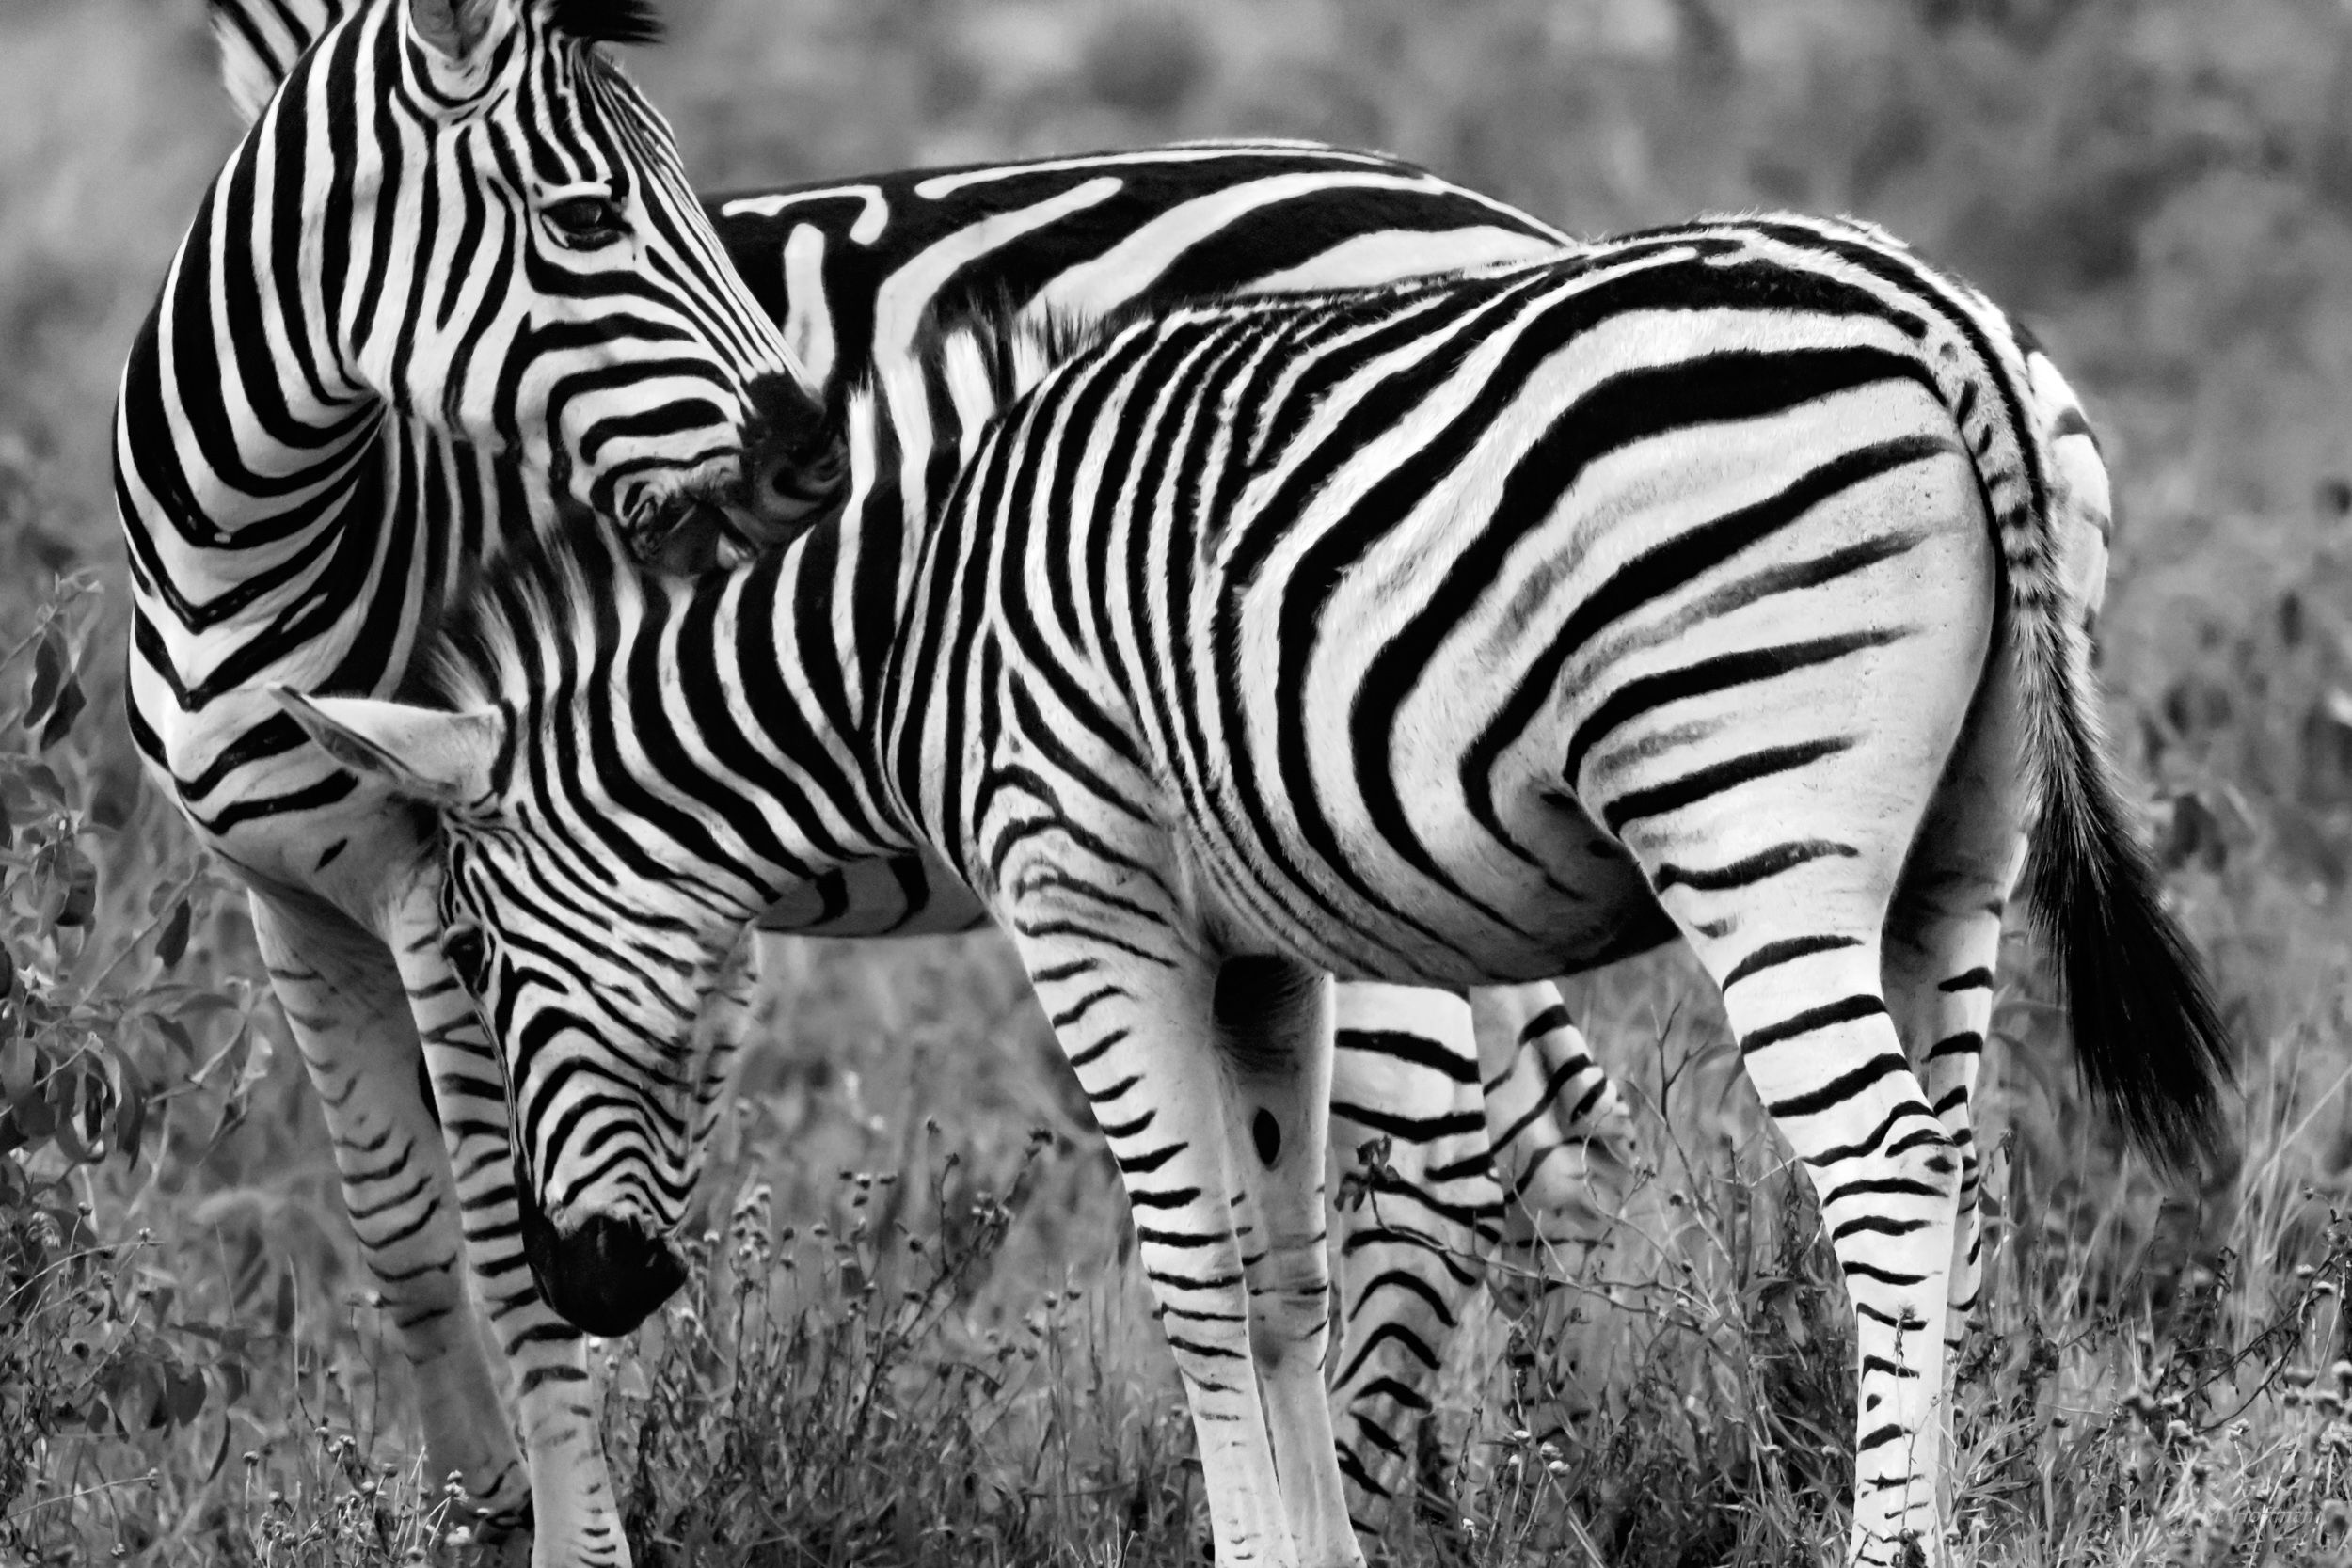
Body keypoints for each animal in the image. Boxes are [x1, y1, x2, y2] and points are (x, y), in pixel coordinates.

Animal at [116, 1, 821, 1560]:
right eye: (587, 216)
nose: (817, 455)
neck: (243, 549)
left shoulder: (445, 889)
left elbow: (506, 1236)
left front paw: (574, 1538)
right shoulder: (283, 899)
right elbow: (398, 1218)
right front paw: (474, 1499)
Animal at [278, 214, 2232, 1566]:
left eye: (469, 953)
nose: (589, 1282)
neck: (899, 646)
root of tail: (1930, 308)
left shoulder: (1086, 899)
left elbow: (1197, 1274)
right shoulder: (1259, 954)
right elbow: (1290, 1279)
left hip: (1748, 819)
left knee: (1887, 1170)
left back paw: (1886, 1547)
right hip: (1958, 853)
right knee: (1961, 1176)